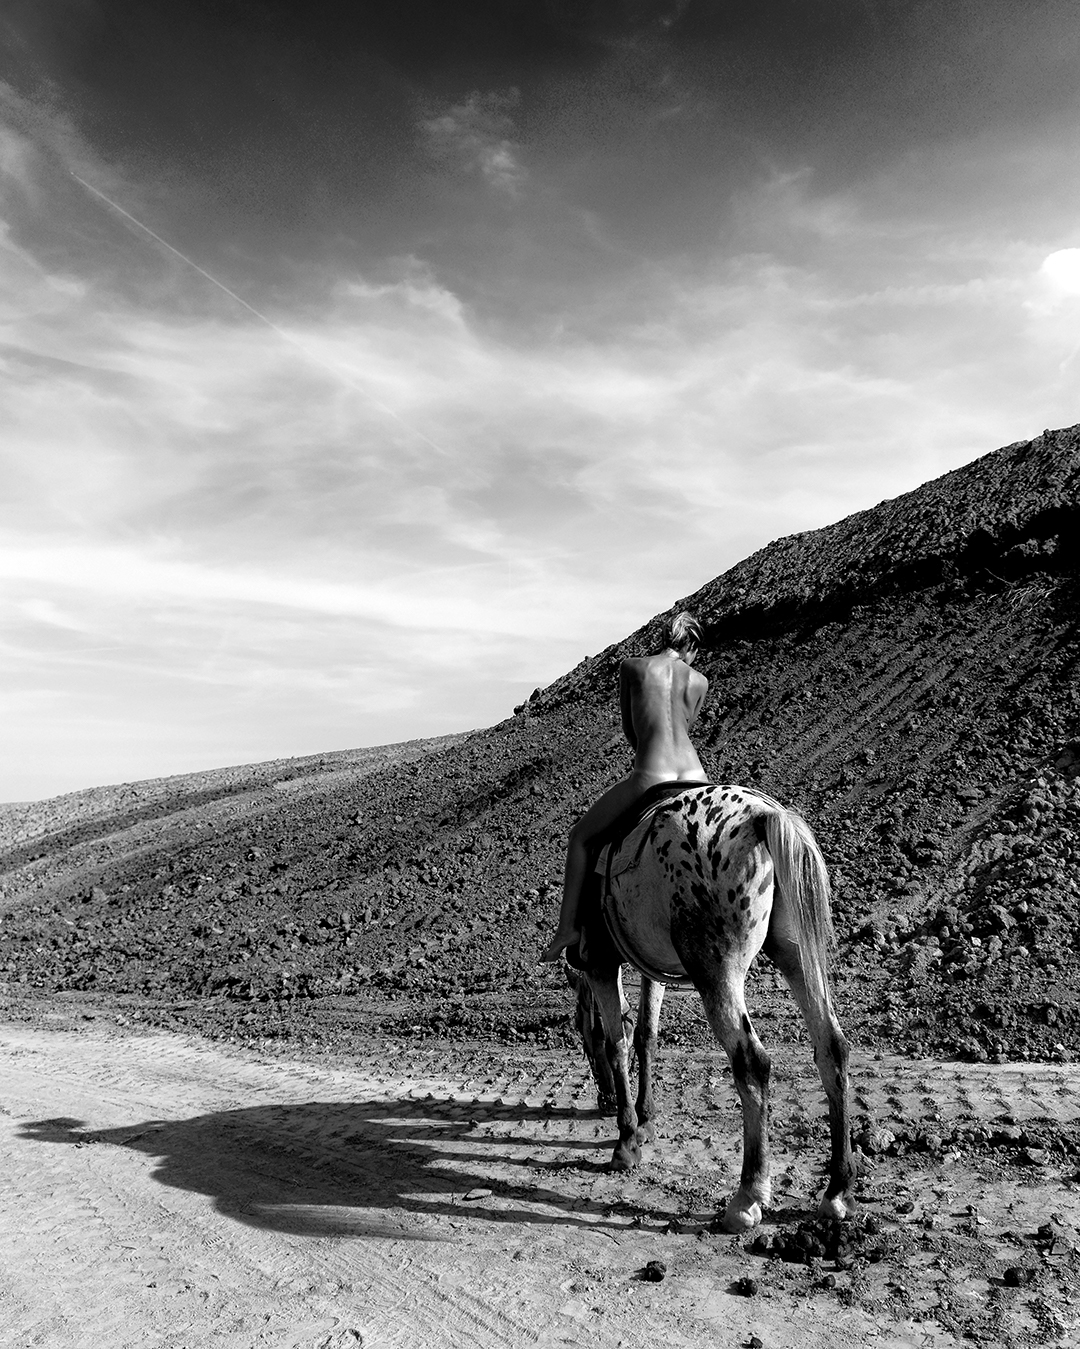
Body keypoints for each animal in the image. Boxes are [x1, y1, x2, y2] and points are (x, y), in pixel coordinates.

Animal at [568, 782, 857, 1235]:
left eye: (580, 1036)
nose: (604, 1100)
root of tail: (762, 817)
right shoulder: (651, 967)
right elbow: (647, 1034)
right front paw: (646, 1120)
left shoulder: (599, 962)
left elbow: (617, 1042)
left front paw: (627, 1140)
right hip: (795, 954)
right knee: (832, 1047)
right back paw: (837, 1191)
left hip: (716, 969)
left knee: (752, 1062)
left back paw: (748, 1197)